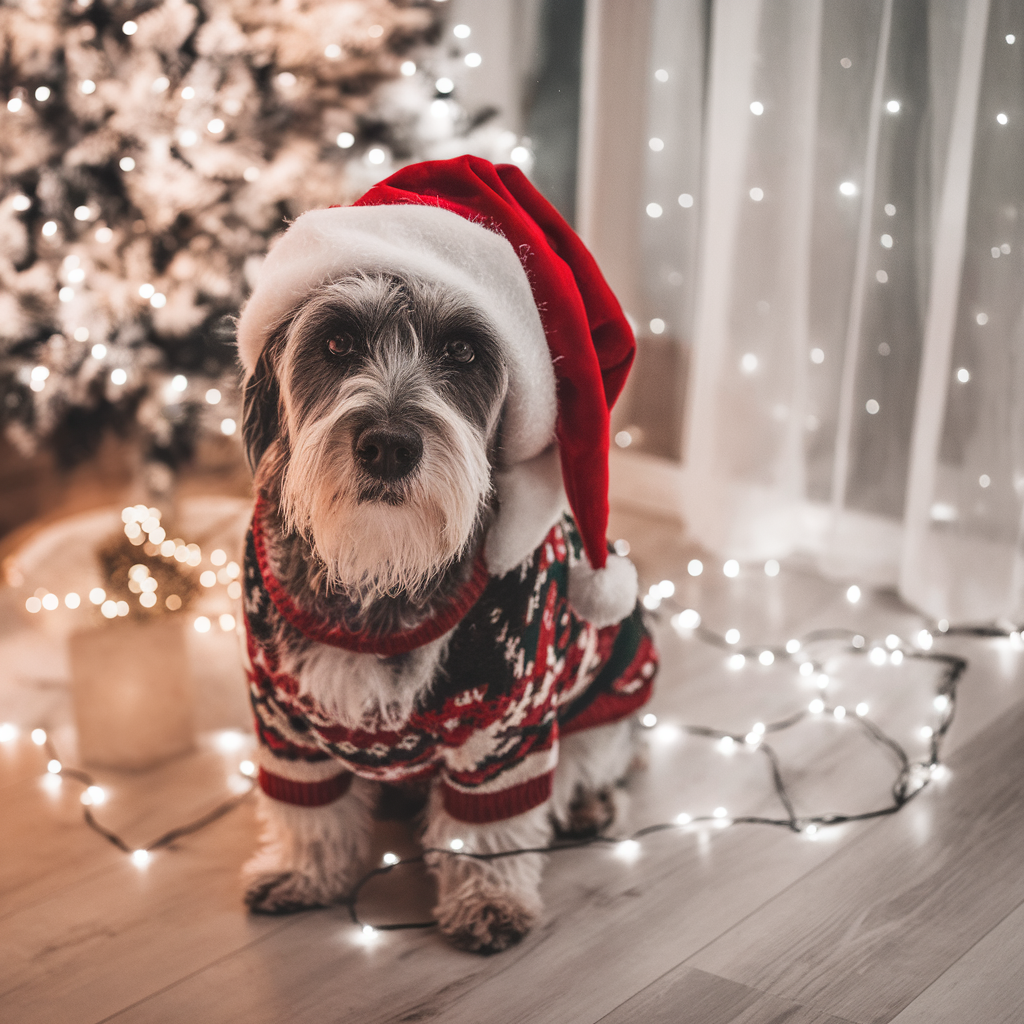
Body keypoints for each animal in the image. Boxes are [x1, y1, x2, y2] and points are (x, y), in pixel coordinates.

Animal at [234, 153, 655, 950]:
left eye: (463, 350)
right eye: (336, 342)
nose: (389, 446)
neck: (378, 573)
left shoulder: (507, 731)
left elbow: (488, 828)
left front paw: (488, 900)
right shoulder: (283, 721)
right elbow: (309, 811)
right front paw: (304, 872)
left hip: (604, 695)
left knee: (601, 761)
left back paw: (587, 803)